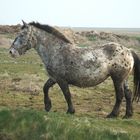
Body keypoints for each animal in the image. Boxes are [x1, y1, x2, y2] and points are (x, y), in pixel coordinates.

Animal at [9, 20, 140, 118]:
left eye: (21, 35)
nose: (11, 52)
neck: (56, 50)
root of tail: (128, 50)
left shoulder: (61, 80)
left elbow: (67, 94)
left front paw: (70, 111)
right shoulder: (54, 78)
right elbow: (45, 88)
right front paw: (47, 106)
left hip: (117, 79)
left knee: (120, 95)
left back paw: (113, 114)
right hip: (124, 79)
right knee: (128, 94)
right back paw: (127, 115)